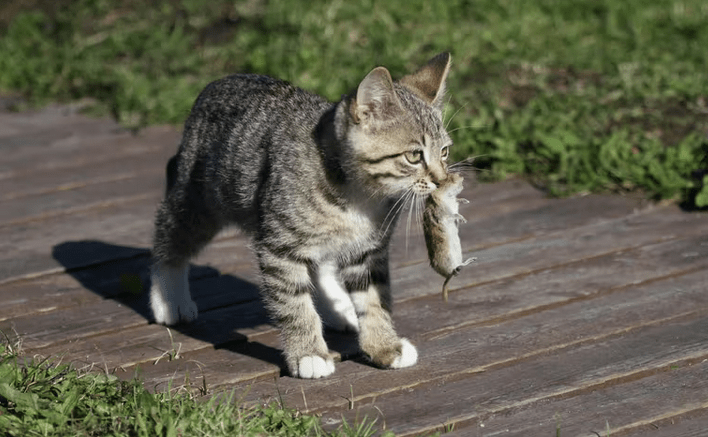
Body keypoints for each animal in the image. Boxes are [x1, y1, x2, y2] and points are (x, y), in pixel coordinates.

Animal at [152, 52, 456, 378]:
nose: (442, 180)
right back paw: (168, 298)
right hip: (202, 199)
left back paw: (336, 306)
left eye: (444, 152)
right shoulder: (279, 245)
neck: (358, 195)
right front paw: (308, 354)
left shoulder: (368, 250)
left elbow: (374, 299)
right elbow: (294, 303)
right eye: (414, 156)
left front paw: (384, 346)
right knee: (171, 229)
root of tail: (218, 82)